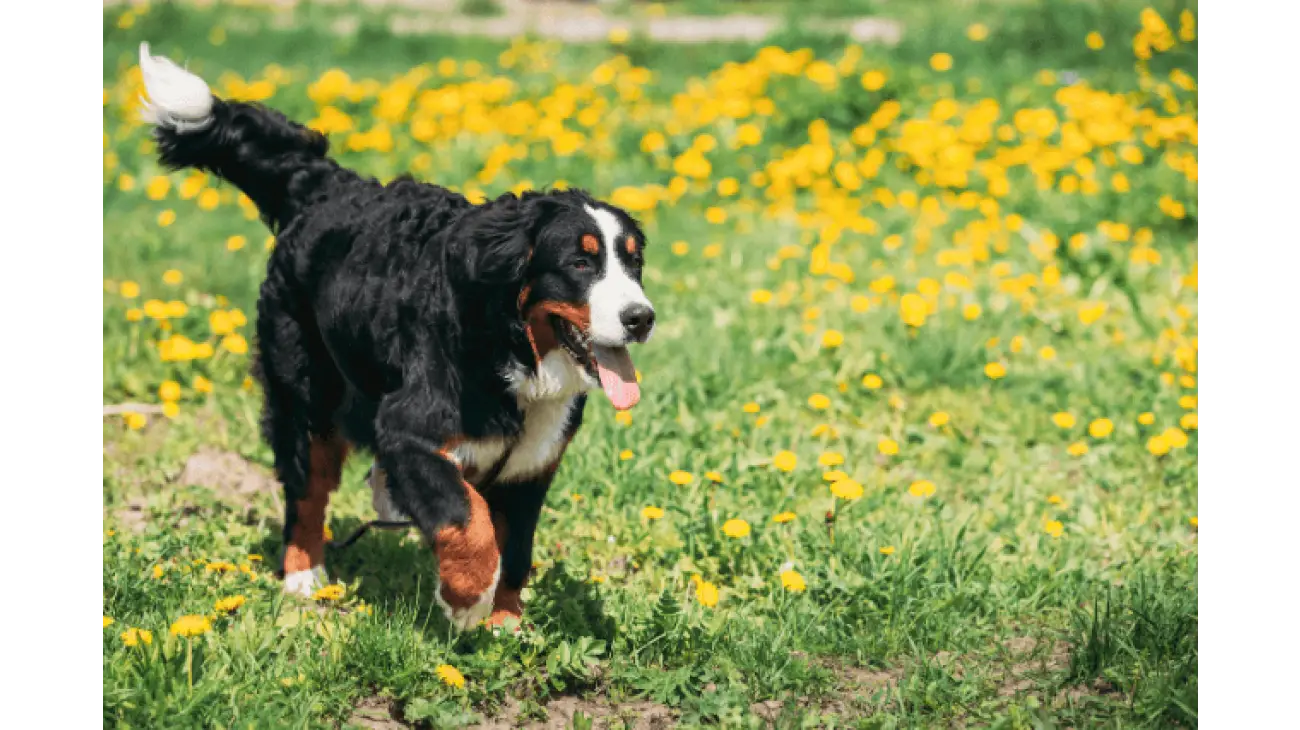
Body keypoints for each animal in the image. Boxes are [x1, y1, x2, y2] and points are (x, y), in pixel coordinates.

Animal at [137, 42, 655, 628]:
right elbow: (467, 517)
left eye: (634, 264)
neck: (512, 352)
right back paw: (303, 576)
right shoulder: (409, 429)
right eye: (580, 263)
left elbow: (516, 548)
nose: (641, 317)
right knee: (305, 490)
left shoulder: (531, 464)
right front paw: (465, 598)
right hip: (306, 394)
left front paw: (505, 623)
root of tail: (327, 185)